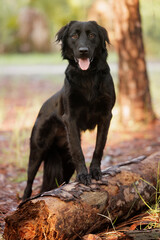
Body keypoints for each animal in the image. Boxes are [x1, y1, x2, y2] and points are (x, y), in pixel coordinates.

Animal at [22, 21, 115, 201]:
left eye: (92, 35)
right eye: (74, 36)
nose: (83, 51)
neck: (87, 76)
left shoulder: (106, 116)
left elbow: (99, 146)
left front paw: (95, 172)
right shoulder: (70, 118)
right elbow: (78, 150)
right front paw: (83, 176)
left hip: (66, 161)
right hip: (37, 151)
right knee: (28, 184)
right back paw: (23, 202)